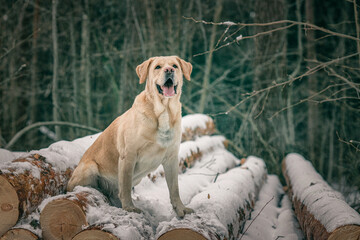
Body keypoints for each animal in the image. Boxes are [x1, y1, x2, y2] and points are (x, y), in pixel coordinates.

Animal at [67, 55, 194, 217]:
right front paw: (129, 208)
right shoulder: (128, 155)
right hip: (90, 168)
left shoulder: (171, 158)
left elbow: (174, 188)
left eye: (175, 66)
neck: (163, 111)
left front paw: (181, 209)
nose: (169, 70)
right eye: (158, 67)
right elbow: (126, 186)